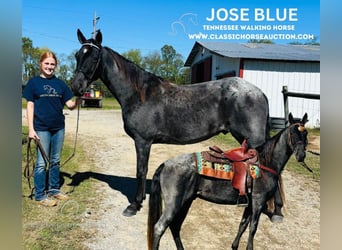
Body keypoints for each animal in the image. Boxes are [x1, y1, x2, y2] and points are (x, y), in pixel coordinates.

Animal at [73, 29, 272, 217]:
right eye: (77, 55)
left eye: (94, 57)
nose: (77, 87)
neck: (139, 94)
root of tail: (259, 92)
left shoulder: (142, 141)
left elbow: (140, 170)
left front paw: (134, 205)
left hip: (252, 142)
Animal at [148, 113, 310, 250]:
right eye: (293, 133)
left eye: (305, 134)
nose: (301, 155)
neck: (266, 163)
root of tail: (165, 164)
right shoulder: (258, 201)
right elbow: (253, 228)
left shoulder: (250, 204)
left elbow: (243, 225)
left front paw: (234, 246)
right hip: (174, 204)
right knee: (159, 228)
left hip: (186, 202)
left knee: (175, 227)